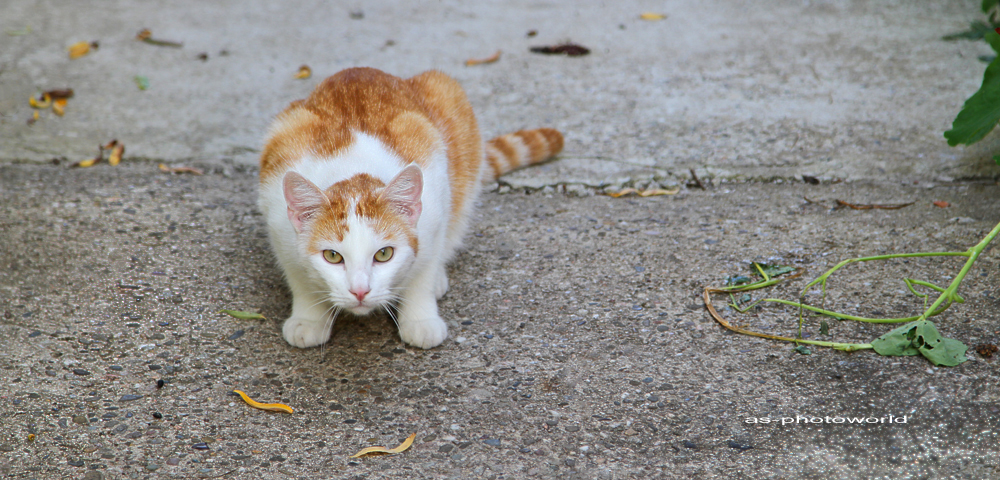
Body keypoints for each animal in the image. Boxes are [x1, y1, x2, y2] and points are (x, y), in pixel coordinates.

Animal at [258, 66, 564, 348]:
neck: (354, 168)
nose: (360, 291)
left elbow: (424, 270)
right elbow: (298, 275)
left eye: (384, 254)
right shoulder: (278, 223)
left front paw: (420, 318)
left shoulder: (435, 209)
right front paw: (309, 317)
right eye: (332, 256)